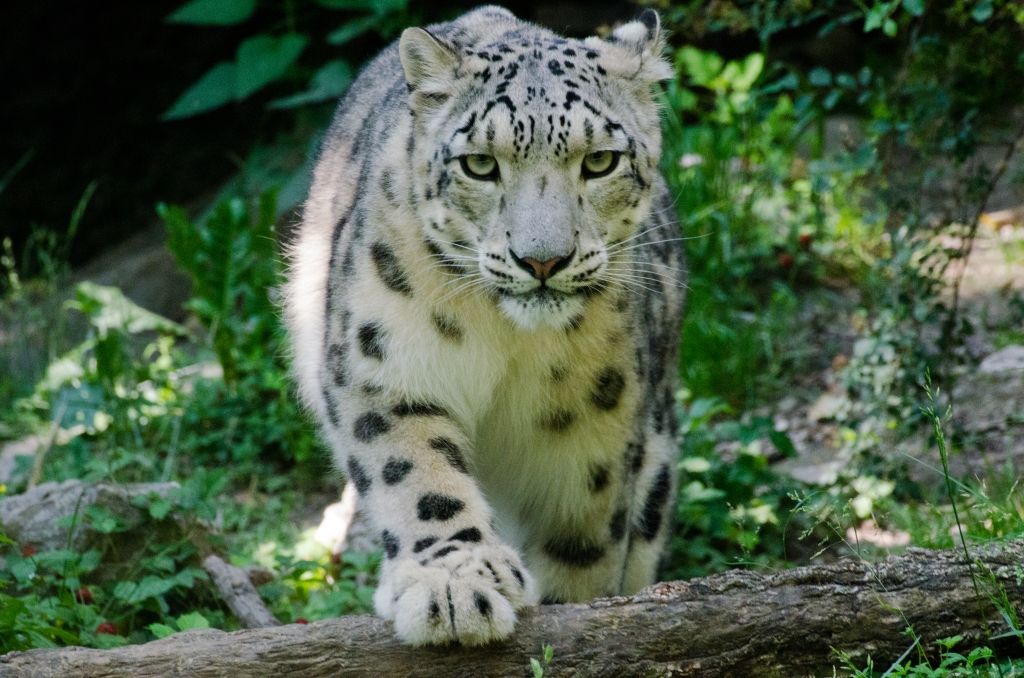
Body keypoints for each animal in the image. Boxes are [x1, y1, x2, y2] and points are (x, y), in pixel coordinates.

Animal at [285, 5, 686, 646]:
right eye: (479, 163)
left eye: (600, 161)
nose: (542, 260)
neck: (508, 340)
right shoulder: (385, 367)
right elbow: (416, 475)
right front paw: (454, 588)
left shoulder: (594, 429)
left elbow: (583, 544)